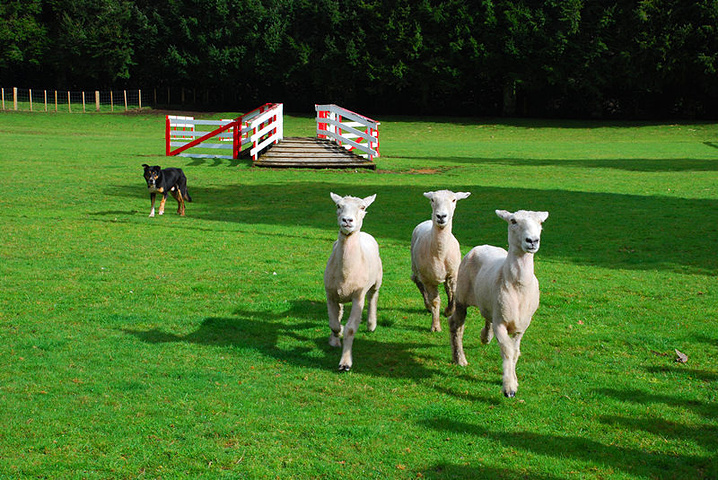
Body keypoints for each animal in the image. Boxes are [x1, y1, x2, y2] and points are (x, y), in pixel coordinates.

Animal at [324, 191, 386, 372]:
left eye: (363, 207)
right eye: (338, 205)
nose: (347, 221)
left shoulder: (358, 296)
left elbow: (350, 329)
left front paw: (345, 363)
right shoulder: (330, 293)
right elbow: (334, 323)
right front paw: (336, 336)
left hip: (377, 280)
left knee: (373, 297)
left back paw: (371, 324)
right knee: (339, 311)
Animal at [410, 189, 472, 332]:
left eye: (454, 200)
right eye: (432, 199)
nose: (441, 216)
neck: (440, 252)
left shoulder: (453, 274)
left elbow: (453, 294)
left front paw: (449, 311)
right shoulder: (428, 279)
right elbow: (435, 301)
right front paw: (435, 326)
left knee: (447, 289)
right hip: (416, 267)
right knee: (417, 281)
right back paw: (427, 305)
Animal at [450, 208, 552, 396]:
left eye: (541, 223)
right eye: (513, 221)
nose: (532, 241)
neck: (518, 286)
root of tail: (482, 246)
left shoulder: (521, 326)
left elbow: (515, 351)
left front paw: (513, 381)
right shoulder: (501, 323)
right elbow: (508, 351)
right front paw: (509, 387)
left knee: (486, 315)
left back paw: (485, 336)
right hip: (461, 297)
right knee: (456, 325)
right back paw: (459, 358)